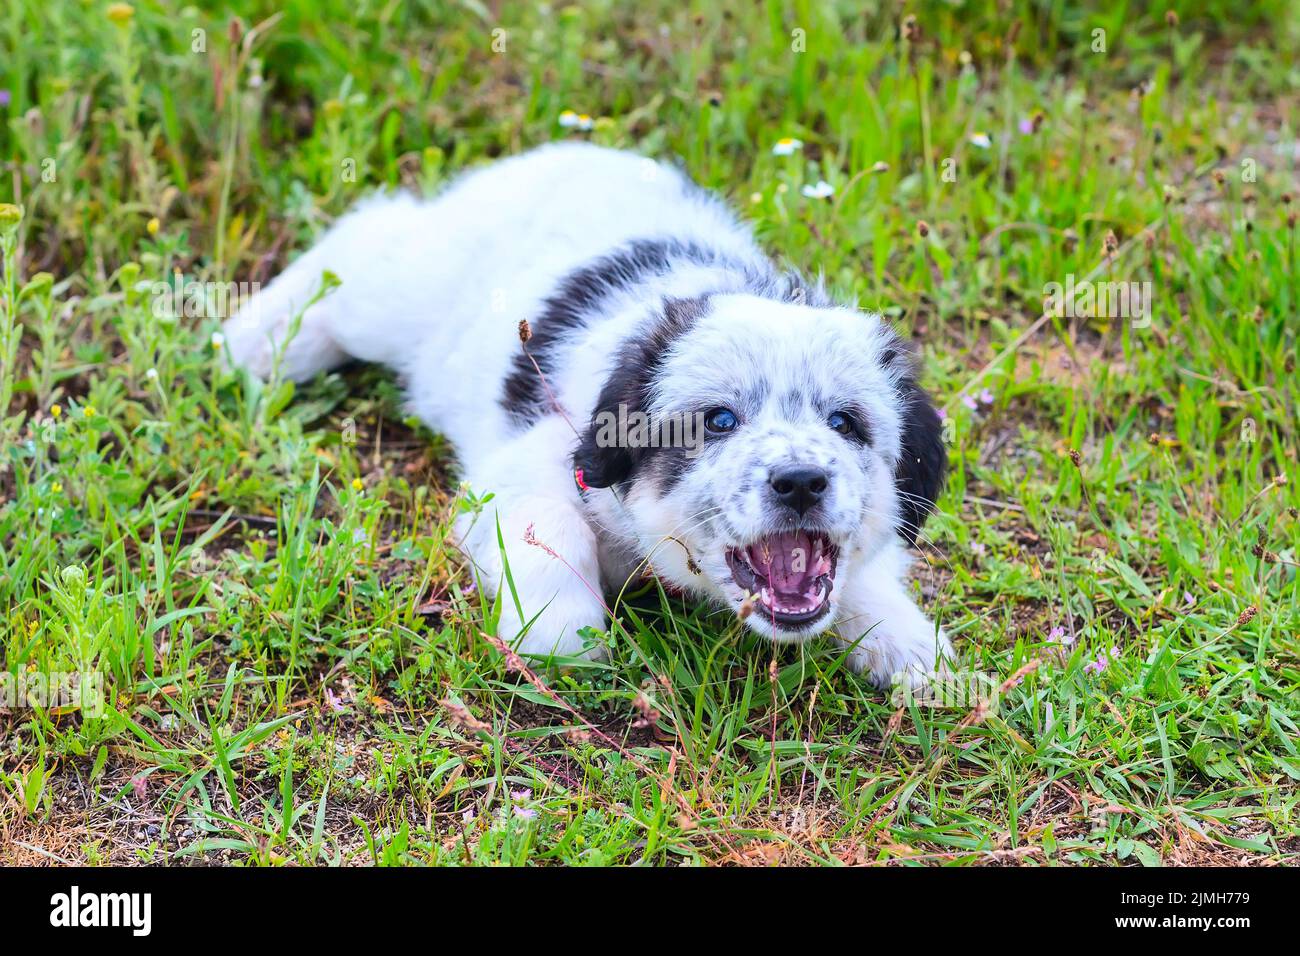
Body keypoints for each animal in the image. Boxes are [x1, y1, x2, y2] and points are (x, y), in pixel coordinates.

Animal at [223, 140, 951, 686]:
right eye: (719, 421)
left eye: (844, 424)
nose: (800, 482)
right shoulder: (525, 466)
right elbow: (550, 528)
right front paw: (561, 636)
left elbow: (868, 567)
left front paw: (910, 645)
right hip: (397, 295)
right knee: (366, 238)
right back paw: (254, 339)